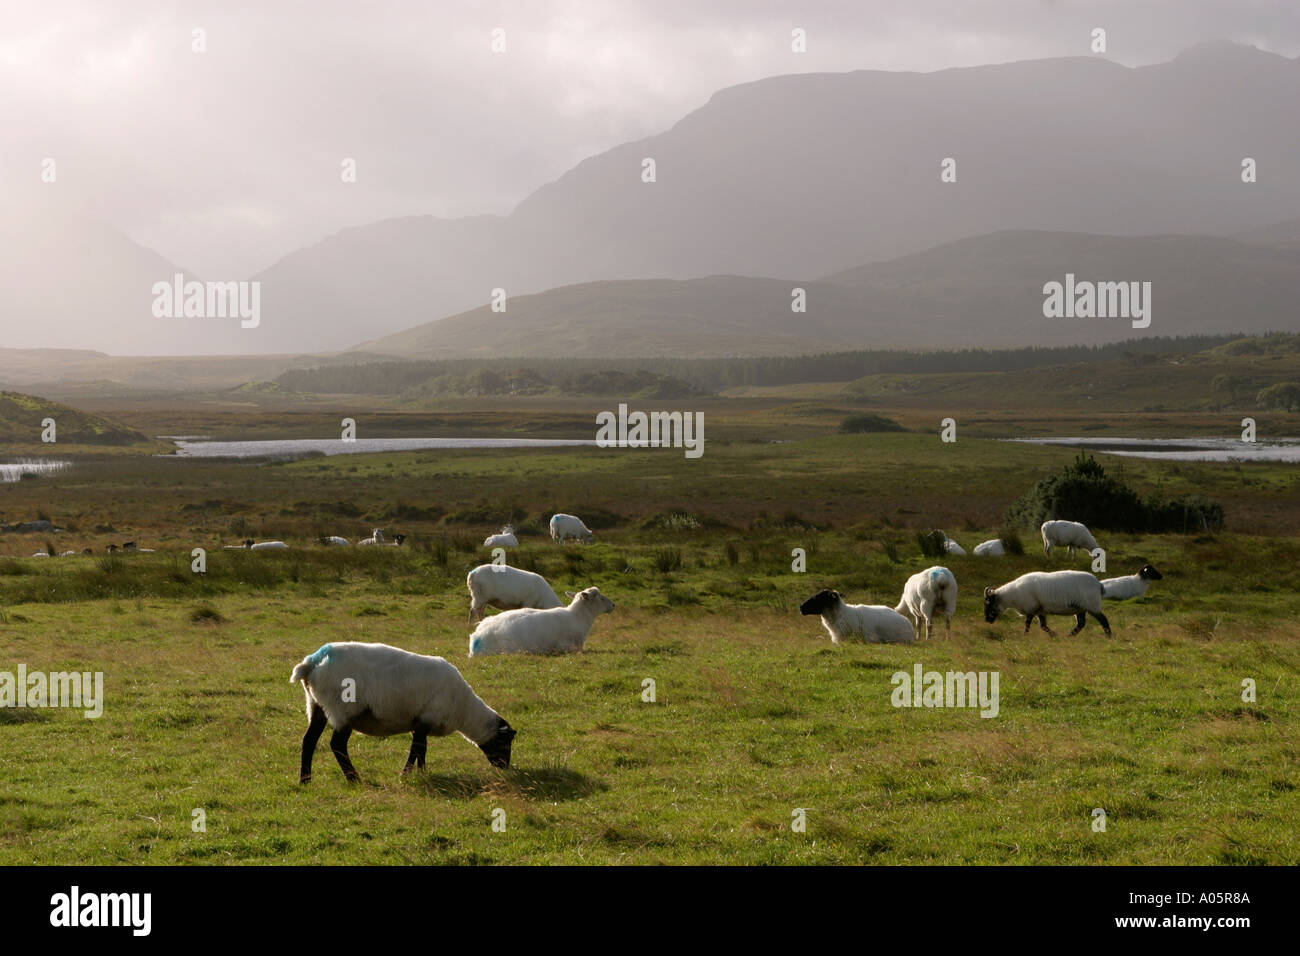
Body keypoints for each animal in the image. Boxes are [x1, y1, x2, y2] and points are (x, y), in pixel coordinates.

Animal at [292, 642, 514, 785]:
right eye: (505, 742)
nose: (505, 767)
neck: (464, 710)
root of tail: (313, 661)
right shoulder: (426, 719)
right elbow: (417, 749)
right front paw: (406, 775)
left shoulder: (419, 723)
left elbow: (421, 750)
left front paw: (421, 772)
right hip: (343, 709)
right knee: (337, 745)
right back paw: (354, 779)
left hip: (316, 706)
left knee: (309, 740)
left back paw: (305, 780)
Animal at [977, 572, 1112, 639]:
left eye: (988, 602)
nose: (987, 620)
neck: (1012, 595)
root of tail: (1099, 584)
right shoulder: (1040, 611)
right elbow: (1043, 626)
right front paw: (1053, 635)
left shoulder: (1030, 608)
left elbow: (1027, 624)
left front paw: (1024, 636)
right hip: (1080, 608)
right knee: (1081, 624)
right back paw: (1069, 636)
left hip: (1092, 605)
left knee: (1103, 619)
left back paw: (1109, 636)